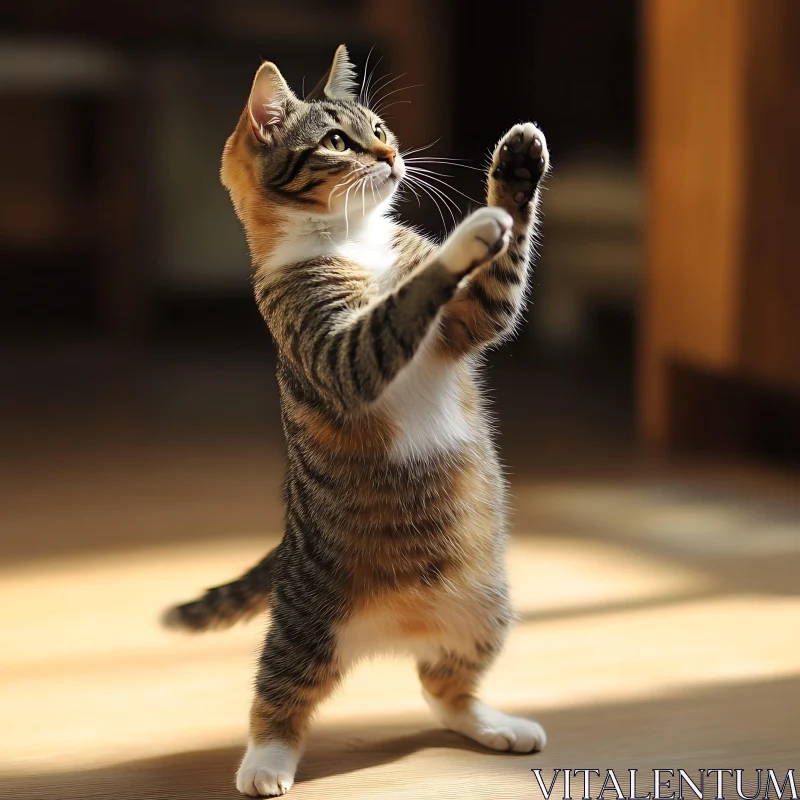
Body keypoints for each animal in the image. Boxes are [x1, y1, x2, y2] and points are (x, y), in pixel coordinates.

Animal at [162, 45, 552, 800]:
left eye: (379, 127)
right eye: (339, 142)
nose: (393, 154)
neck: (356, 238)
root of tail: (393, 633)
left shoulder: (469, 321)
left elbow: (496, 288)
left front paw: (515, 173)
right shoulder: (339, 351)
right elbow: (397, 309)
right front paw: (469, 233)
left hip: (485, 610)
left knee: (442, 687)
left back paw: (492, 724)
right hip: (304, 626)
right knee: (280, 696)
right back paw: (265, 765)